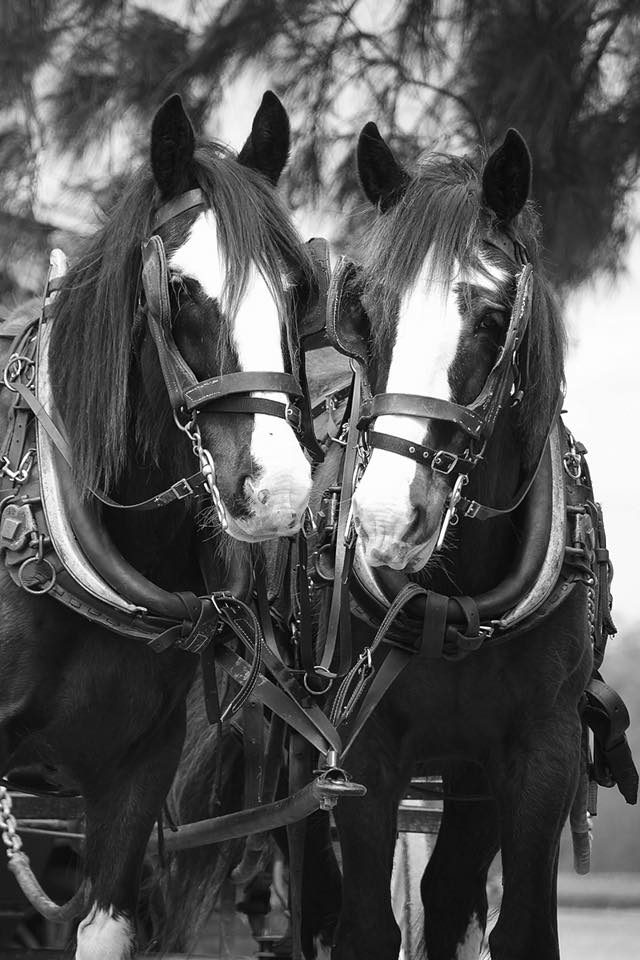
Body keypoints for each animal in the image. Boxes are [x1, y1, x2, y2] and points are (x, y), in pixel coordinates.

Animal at [313, 125, 594, 959]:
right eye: (366, 312)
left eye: (494, 319)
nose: (384, 519)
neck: (450, 595)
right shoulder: (361, 753)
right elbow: (367, 927)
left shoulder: (539, 753)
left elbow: (520, 927)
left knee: (442, 895)